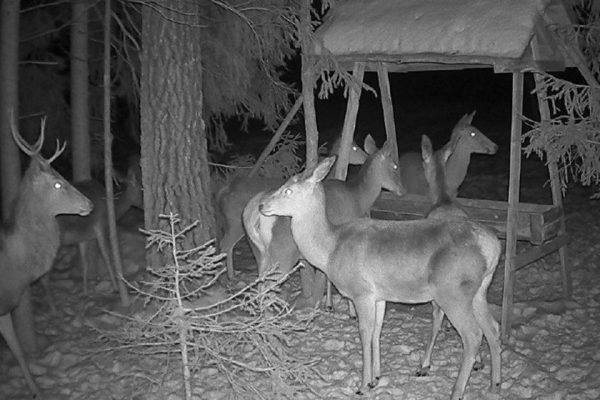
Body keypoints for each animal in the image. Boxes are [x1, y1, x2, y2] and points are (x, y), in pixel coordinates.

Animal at [242, 137, 404, 309]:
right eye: (394, 166)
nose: (402, 190)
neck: (359, 198)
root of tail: (254, 212)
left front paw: (328, 303)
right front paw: (343, 308)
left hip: (259, 252)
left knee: (259, 284)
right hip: (282, 252)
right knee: (268, 288)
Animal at [258, 156, 502, 400]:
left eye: (288, 190)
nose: (262, 206)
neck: (331, 250)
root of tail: (493, 247)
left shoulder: (361, 291)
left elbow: (365, 333)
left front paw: (362, 385)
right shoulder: (380, 295)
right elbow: (377, 331)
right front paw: (376, 378)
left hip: (453, 290)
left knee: (473, 335)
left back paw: (456, 391)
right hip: (479, 290)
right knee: (492, 328)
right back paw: (494, 385)